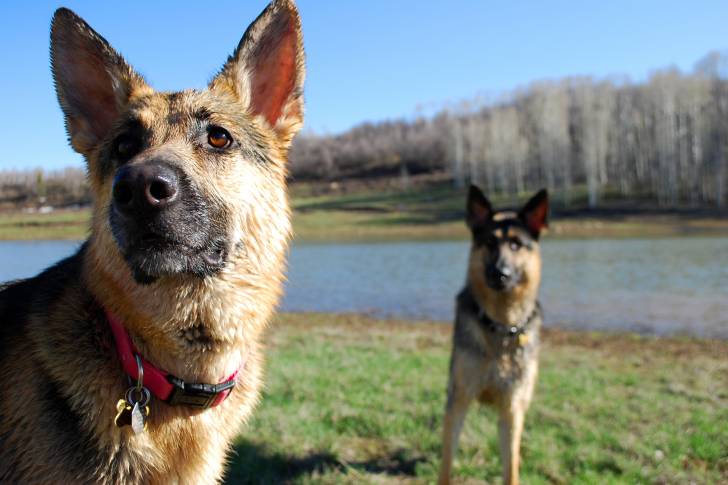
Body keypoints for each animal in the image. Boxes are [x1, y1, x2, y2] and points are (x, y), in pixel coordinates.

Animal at [440, 183, 548, 482]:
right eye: (489, 242)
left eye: (516, 244)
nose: (501, 273)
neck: (501, 325)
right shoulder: (459, 400)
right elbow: (446, 463)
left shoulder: (512, 408)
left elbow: (510, 468)